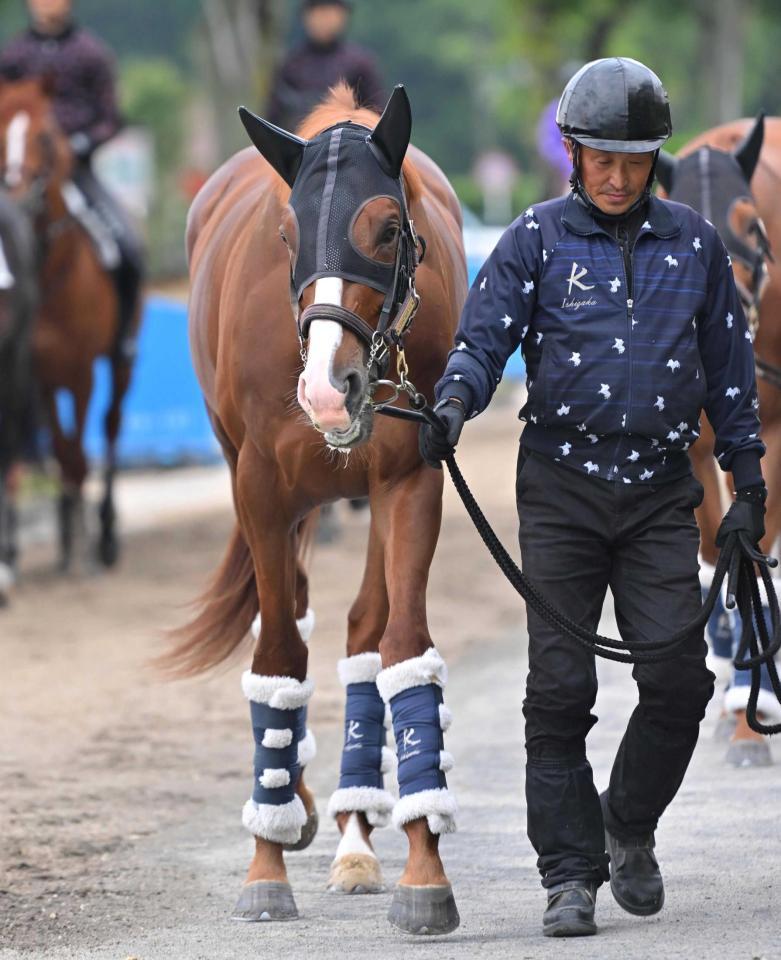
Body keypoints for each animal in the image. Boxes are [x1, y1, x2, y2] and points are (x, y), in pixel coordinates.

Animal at [0, 77, 142, 584]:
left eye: (44, 136)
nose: (17, 192)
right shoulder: (37, 375)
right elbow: (61, 450)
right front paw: (64, 538)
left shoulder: (80, 373)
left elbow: (80, 454)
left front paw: (84, 545)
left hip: (120, 362)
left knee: (112, 426)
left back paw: (106, 534)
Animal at [165, 86, 466, 932]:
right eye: (287, 234)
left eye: (388, 228)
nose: (328, 390)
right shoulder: (262, 488)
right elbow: (276, 656)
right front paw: (264, 866)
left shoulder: (412, 477)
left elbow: (400, 648)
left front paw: (423, 868)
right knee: (289, 616)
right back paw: (287, 803)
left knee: (362, 631)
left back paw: (354, 829)